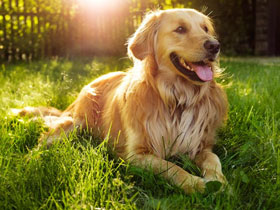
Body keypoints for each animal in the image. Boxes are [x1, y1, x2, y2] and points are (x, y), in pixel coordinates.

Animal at [13, 9, 228, 194]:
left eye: (205, 28)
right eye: (181, 29)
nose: (215, 46)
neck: (177, 99)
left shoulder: (200, 145)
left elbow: (213, 159)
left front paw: (219, 183)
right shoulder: (136, 154)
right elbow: (171, 167)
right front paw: (196, 184)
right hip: (73, 124)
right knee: (42, 142)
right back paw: (29, 162)